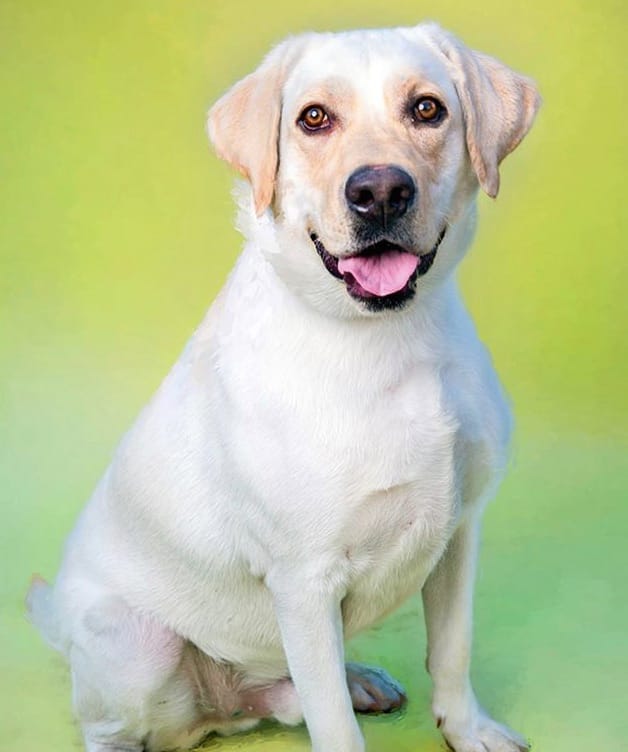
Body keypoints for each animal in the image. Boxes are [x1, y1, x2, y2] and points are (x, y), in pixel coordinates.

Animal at [27, 20, 540, 752]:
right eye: (314, 118)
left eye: (427, 108)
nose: (380, 191)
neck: (386, 339)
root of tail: (216, 710)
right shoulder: (304, 580)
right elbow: (336, 727)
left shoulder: (460, 531)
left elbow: (452, 650)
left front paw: (467, 729)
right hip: (137, 645)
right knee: (108, 724)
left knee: (286, 691)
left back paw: (354, 680)